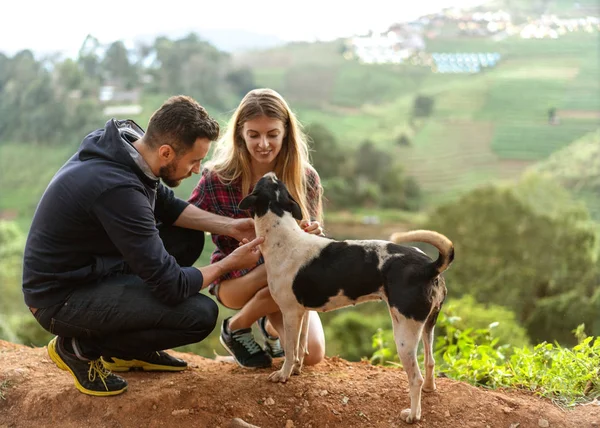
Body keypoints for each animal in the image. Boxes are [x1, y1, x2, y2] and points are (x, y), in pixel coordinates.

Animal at [239, 172, 454, 422]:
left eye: (264, 184)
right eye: (276, 184)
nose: (271, 173)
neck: (283, 233)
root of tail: (428, 266)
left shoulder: (290, 313)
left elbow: (290, 350)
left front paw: (283, 375)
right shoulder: (302, 312)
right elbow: (301, 347)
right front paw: (297, 370)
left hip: (404, 333)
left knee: (415, 377)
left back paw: (413, 415)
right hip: (428, 326)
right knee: (430, 361)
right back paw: (429, 389)